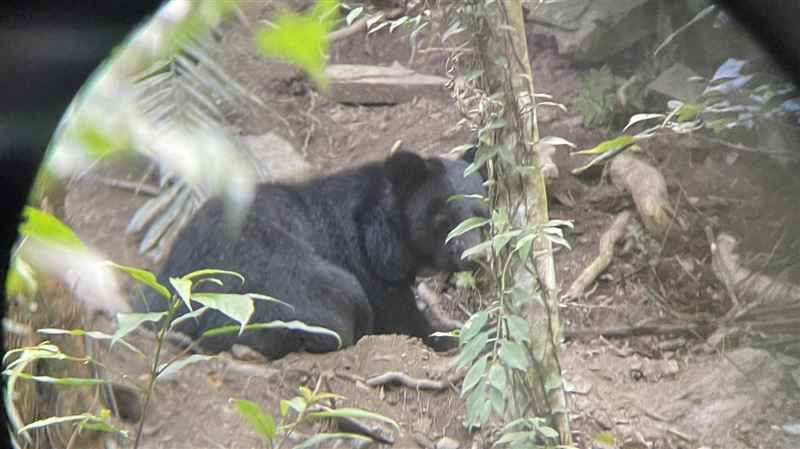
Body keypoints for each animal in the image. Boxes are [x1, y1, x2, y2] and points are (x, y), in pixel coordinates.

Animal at [134, 151, 487, 360]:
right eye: (443, 222)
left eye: (480, 216)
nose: (473, 256)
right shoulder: (366, 266)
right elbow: (402, 318)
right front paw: (454, 335)